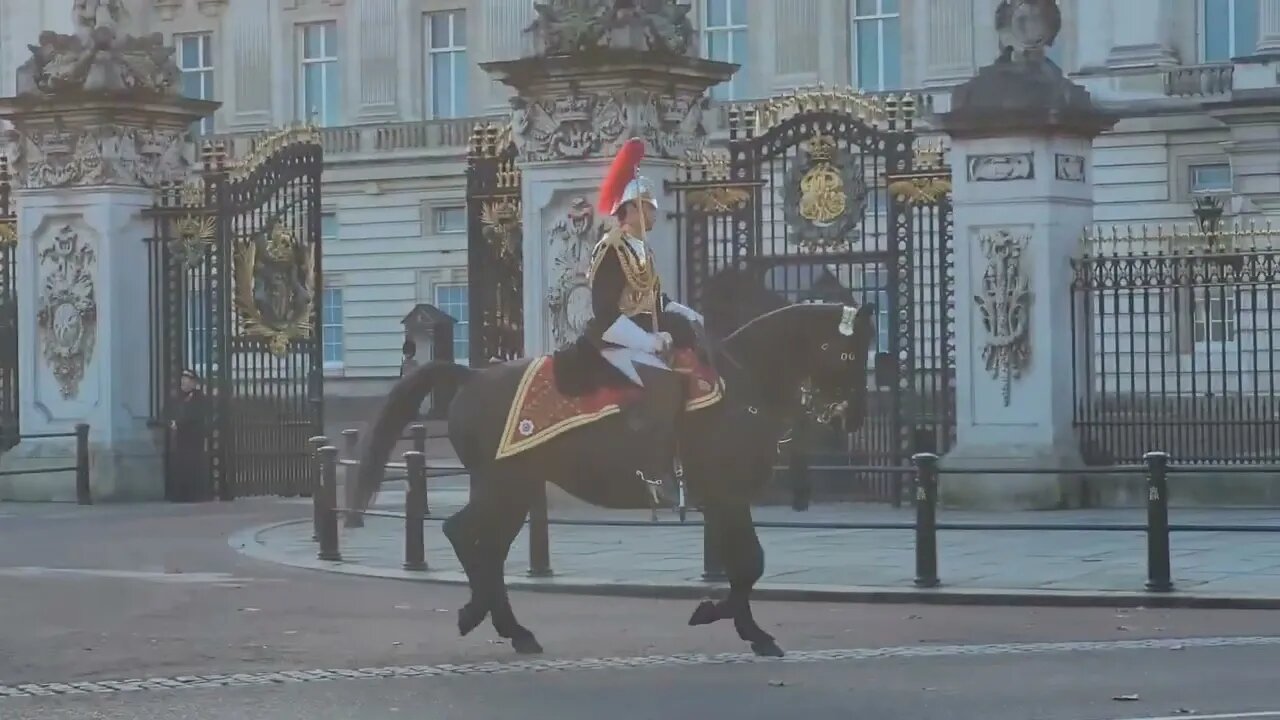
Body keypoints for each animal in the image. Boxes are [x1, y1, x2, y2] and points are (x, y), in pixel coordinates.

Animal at [353, 297, 880, 655]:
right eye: (853, 353)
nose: (853, 418)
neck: (741, 381)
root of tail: (472, 376)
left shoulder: (723, 499)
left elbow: (742, 565)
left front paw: (731, 618)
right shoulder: (727, 494)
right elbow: (749, 563)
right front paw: (737, 623)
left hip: (515, 489)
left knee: (488, 547)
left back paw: (508, 626)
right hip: (504, 483)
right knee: (465, 535)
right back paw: (482, 616)